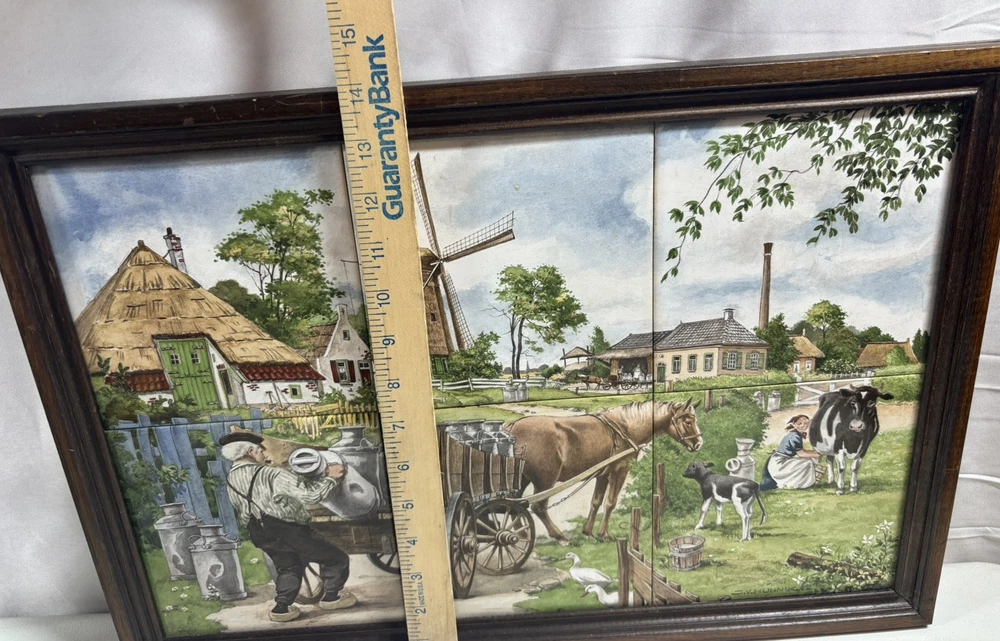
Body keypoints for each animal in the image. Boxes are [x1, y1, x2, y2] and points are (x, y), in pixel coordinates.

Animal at [508, 399, 703, 542]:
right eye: (688, 421)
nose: (699, 444)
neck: (625, 428)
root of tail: (512, 428)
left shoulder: (602, 475)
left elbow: (596, 502)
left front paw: (588, 532)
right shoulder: (619, 470)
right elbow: (610, 502)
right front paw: (604, 534)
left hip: (521, 479)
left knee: (514, 504)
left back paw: (521, 534)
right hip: (546, 480)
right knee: (538, 507)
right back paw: (559, 536)